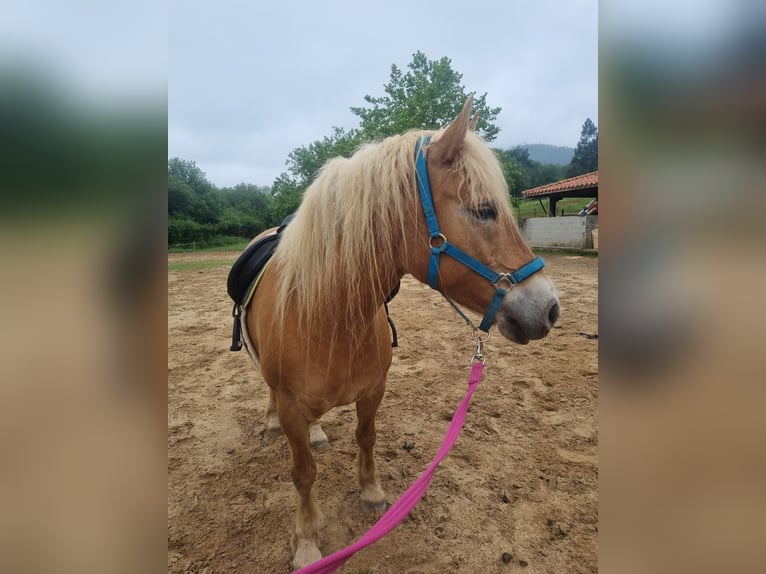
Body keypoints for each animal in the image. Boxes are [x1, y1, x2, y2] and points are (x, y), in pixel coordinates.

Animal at [237, 97, 560, 568]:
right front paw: (307, 543)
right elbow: (303, 473)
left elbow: (366, 438)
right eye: (484, 209)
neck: (327, 317)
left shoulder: (374, 389)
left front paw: (371, 493)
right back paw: (271, 424)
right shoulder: (291, 406)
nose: (549, 308)